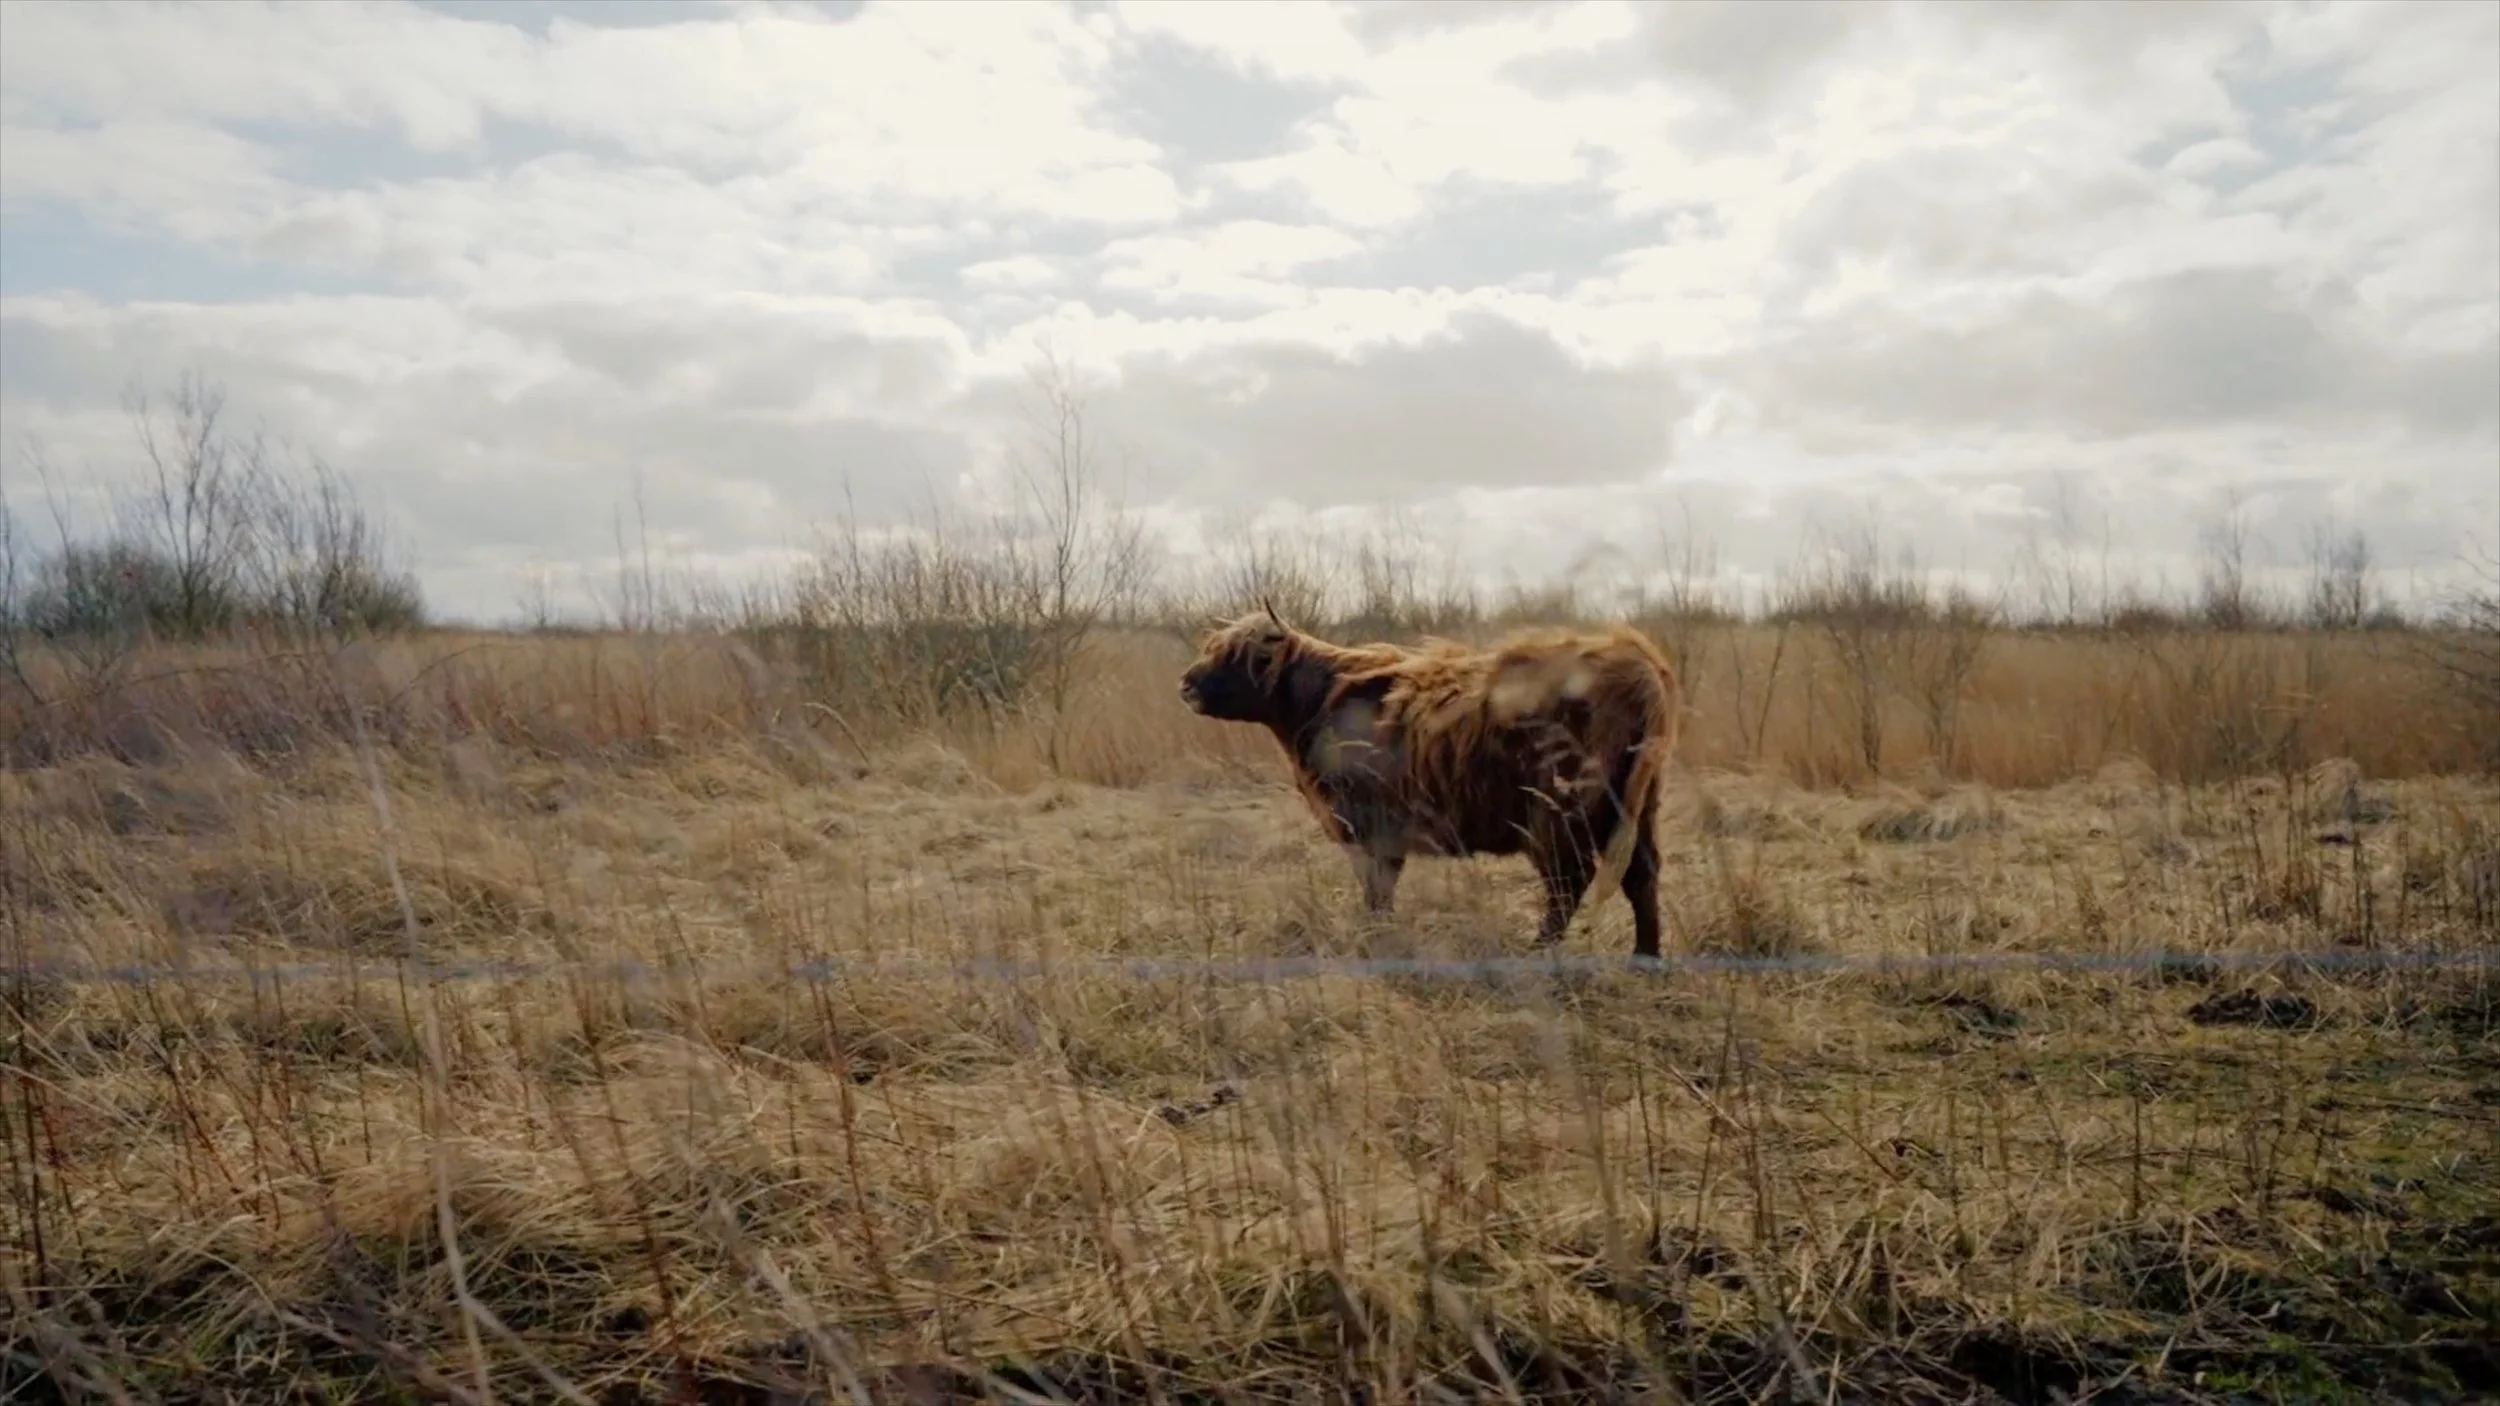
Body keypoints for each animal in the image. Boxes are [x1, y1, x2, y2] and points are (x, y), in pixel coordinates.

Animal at [1177, 601, 1684, 958]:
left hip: (1558, 809)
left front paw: (1375, 942)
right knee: (1642, 874)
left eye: (1235, 655)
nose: (1185, 683)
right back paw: (1646, 958)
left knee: (1569, 882)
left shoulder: (1369, 826)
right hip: (1637, 803)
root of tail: (1635, 660)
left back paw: (1537, 954)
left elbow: (1377, 889)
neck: (1317, 702)